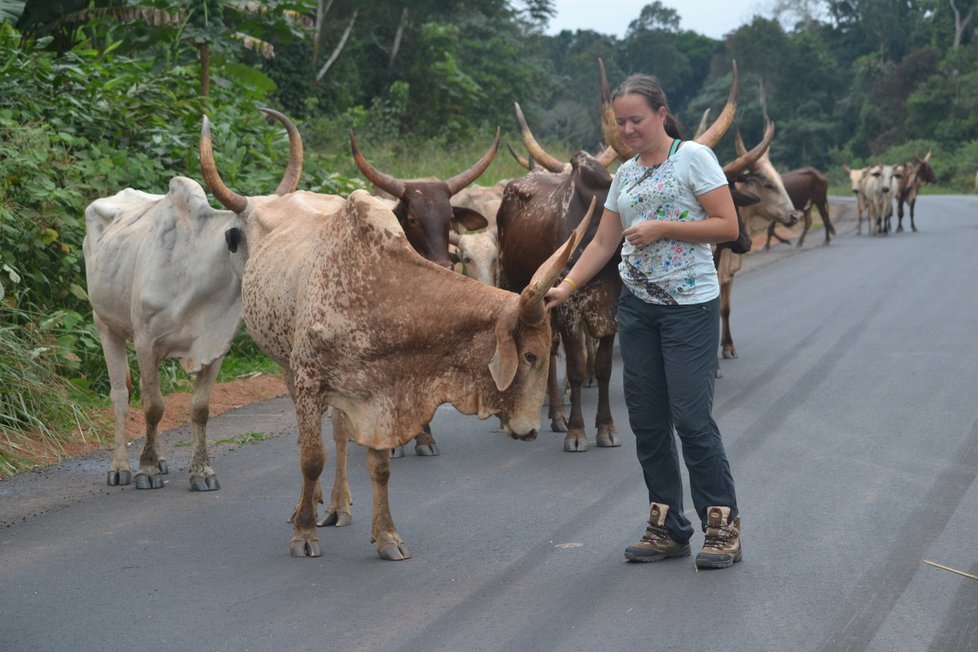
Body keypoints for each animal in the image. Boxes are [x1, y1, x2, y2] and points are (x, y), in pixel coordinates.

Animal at [82, 109, 300, 492]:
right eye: (258, 236)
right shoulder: (146, 343)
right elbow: (152, 406)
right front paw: (147, 470)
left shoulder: (215, 348)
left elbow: (199, 408)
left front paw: (201, 471)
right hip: (105, 325)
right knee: (121, 395)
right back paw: (121, 466)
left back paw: (161, 459)